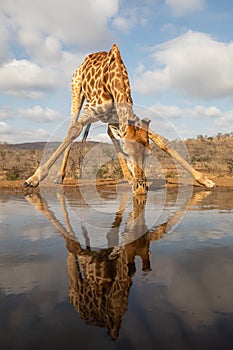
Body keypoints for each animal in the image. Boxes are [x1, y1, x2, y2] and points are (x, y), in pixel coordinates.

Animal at [23, 43, 215, 193]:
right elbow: (74, 130)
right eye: (128, 152)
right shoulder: (91, 109)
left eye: (148, 154)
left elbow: (162, 141)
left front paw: (204, 180)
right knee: (72, 125)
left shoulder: (128, 117)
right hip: (76, 91)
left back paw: (128, 177)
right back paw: (59, 177)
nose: (141, 188)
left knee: (109, 133)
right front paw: (33, 179)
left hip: (111, 118)